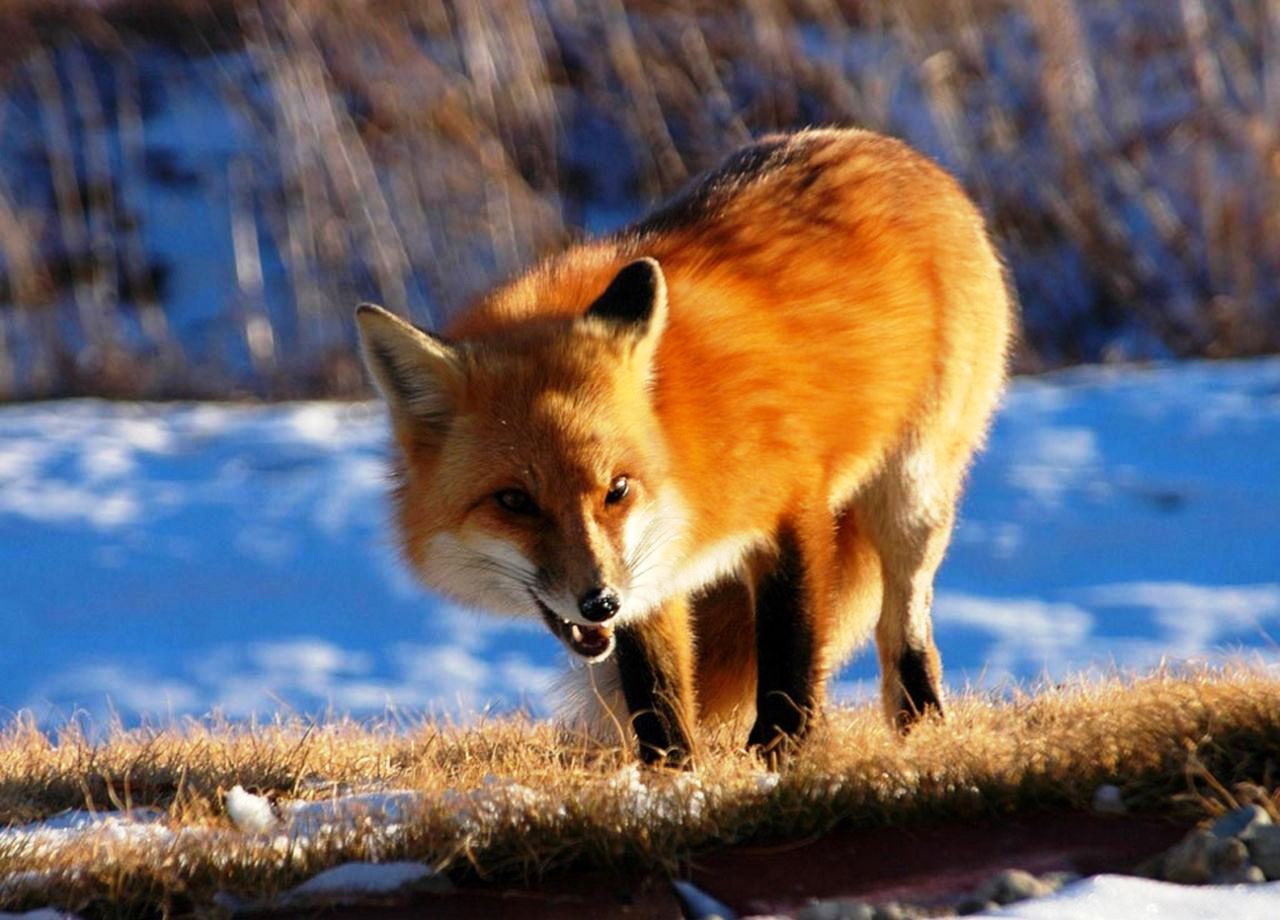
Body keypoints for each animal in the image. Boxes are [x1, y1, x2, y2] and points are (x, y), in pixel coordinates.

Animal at [355, 127, 1013, 762]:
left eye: (616, 489)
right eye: (513, 502)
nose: (598, 604)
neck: (679, 445)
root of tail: (900, 153)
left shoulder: (793, 507)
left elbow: (791, 654)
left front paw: (782, 756)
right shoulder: (650, 568)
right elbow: (658, 694)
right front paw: (673, 775)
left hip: (911, 496)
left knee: (904, 627)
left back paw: (921, 724)